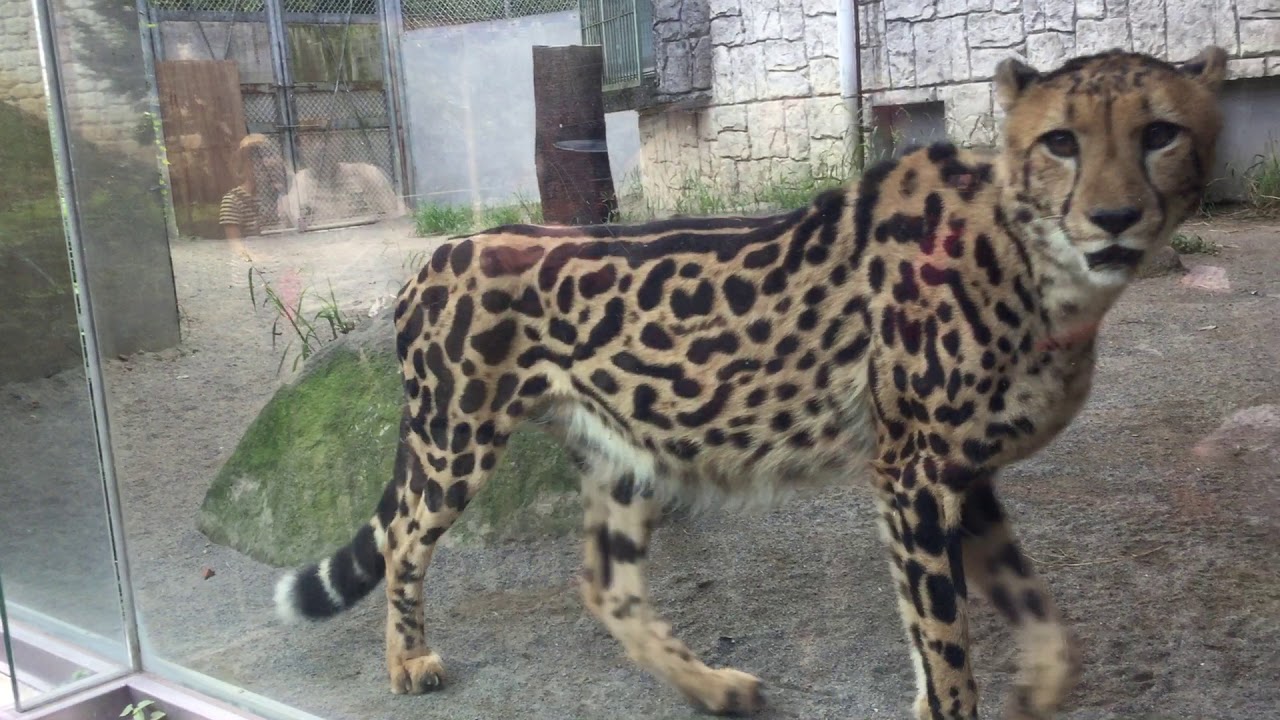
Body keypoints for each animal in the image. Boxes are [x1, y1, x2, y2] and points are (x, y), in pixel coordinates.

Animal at [273, 46, 1228, 719]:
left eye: (1160, 134)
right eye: (1062, 141)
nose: (1114, 218)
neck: (1035, 260)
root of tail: (438, 253)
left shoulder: (961, 471)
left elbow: (1029, 613)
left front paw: (1038, 686)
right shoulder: (914, 471)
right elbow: (946, 643)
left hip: (625, 444)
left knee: (605, 584)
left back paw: (713, 689)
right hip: (456, 436)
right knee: (405, 537)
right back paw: (406, 661)